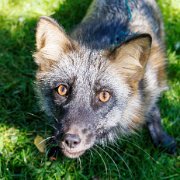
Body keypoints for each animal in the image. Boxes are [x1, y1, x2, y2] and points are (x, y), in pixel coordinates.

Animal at [32, 0, 176, 158]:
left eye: (104, 96)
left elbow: (153, 110)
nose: (70, 140)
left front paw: (163, 138)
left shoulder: (152, 85)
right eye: (62, 90)